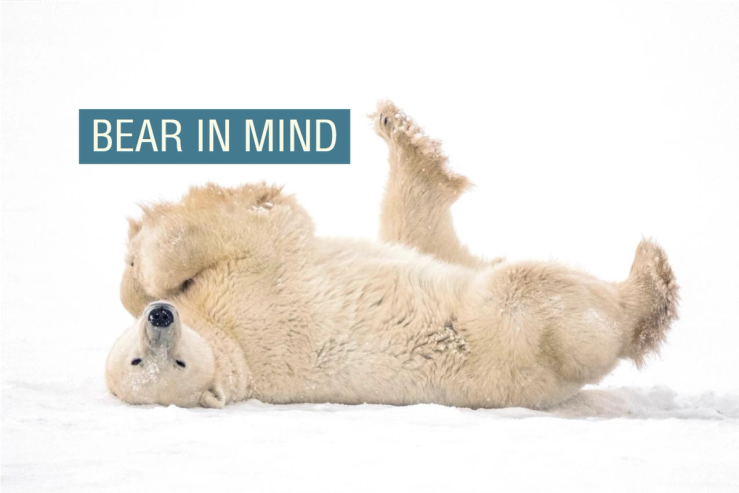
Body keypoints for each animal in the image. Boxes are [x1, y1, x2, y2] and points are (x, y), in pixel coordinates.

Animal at [106, 100, 679, 409]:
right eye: (144, 362)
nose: (161, 319)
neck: (235, 348)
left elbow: (147, 278)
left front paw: (136, 262)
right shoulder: (254, 288)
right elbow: (270, 228)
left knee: (419, 232)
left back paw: (398, 132)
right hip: (508, 334)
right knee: (533, 290)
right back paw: (650, 280)